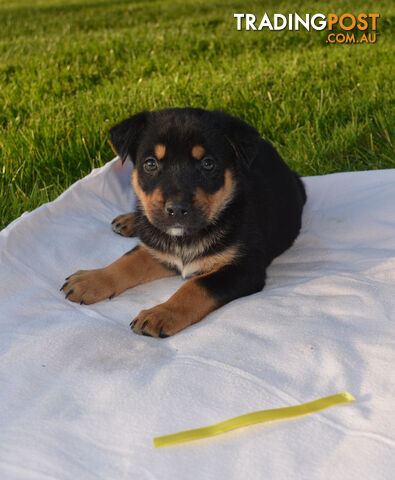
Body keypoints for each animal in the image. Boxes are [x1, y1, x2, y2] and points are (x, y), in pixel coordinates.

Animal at [61, 108, 306, 338]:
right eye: (150, 164)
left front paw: (159, 314)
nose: (177, 209)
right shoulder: (160, 251)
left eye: (208, 164)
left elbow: (195, 286)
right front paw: (91, 280)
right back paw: (131, 220)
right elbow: (127, 261)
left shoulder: (244, 268)